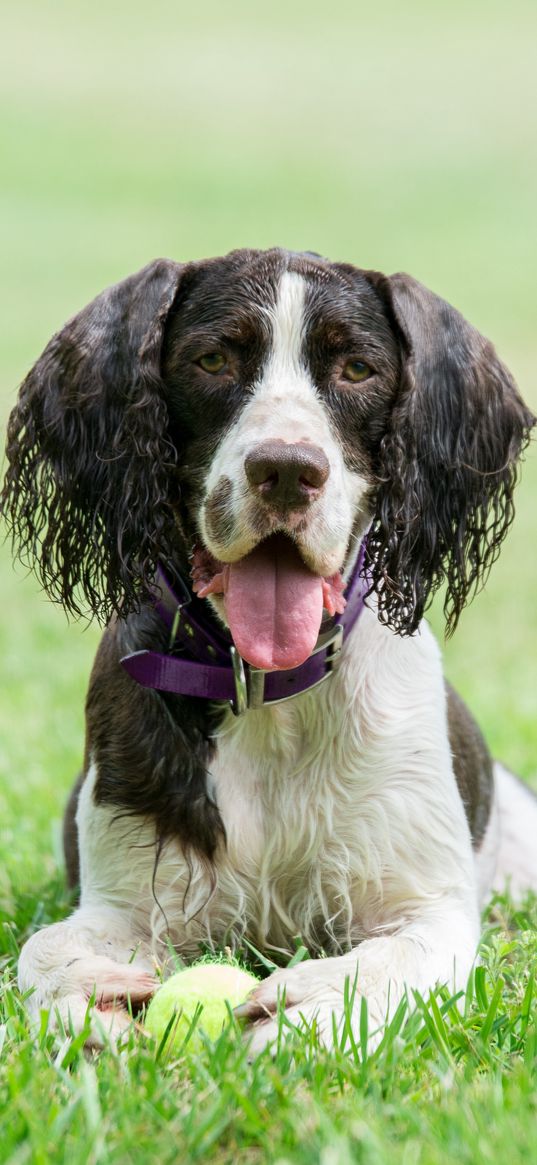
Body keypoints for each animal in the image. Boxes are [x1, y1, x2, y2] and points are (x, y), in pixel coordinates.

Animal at [4, 250, 535, 1053]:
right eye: (213, 360)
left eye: (356, 369)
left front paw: (306, 1011)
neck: (266, 688)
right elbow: (42, 949)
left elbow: (390, 958)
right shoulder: (125, 899)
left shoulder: (428, 905)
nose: (286, 469)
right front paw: (88, 1000)